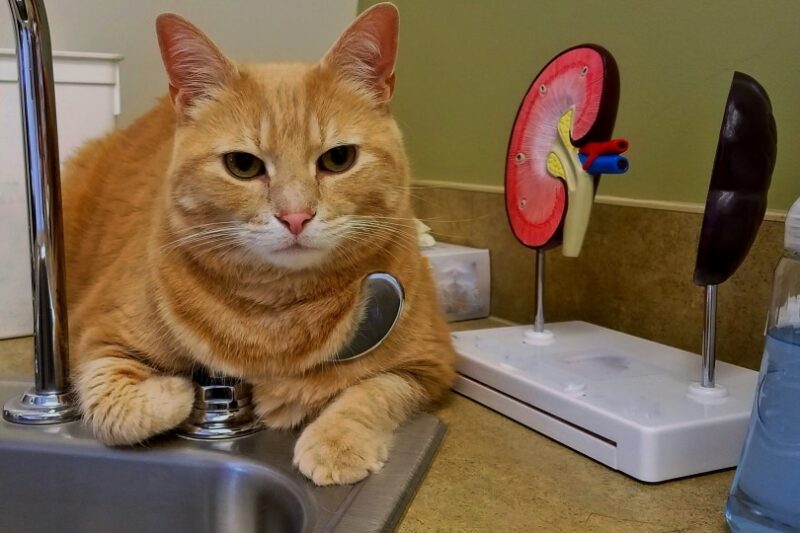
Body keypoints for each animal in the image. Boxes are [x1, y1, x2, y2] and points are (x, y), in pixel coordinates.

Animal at [62, 4, 456, 484]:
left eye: (338, 159)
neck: (277, 311)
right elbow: (117, 409)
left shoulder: (430, 363)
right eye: (243, 165)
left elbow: (374, 390)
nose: (296, 216)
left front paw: (336, 441)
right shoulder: (95, 334)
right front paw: (180, 388)